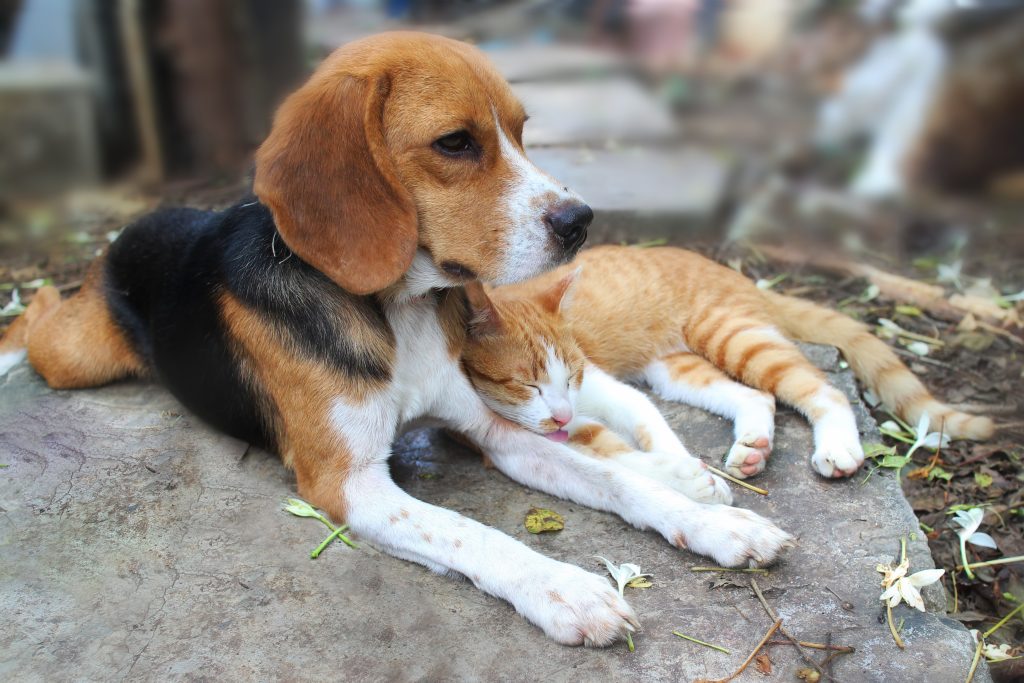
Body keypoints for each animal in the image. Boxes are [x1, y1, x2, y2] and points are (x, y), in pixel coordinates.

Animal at [2, 33, 790, 647]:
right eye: (455, 143)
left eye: (521, 130)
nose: (582, 220)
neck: (395, 312)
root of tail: (132, 227)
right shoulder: (348, 483)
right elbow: (473, 532)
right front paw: (564, 589)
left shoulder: (493, 428)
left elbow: (615, 478)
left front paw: (717, 524)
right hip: (74, 357)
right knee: (39, 321)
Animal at [462, 245, 991, 481]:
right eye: (527, 385)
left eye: (570, 375)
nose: (561, 414)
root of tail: (741, 276)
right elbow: (615, 447)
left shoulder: (604, 387)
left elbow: (650, 425)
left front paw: (685, 469)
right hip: (677, 369)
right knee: (754, 396)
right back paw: (754, 447)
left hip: (732, 336)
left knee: (823, 389)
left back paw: (839, 447)